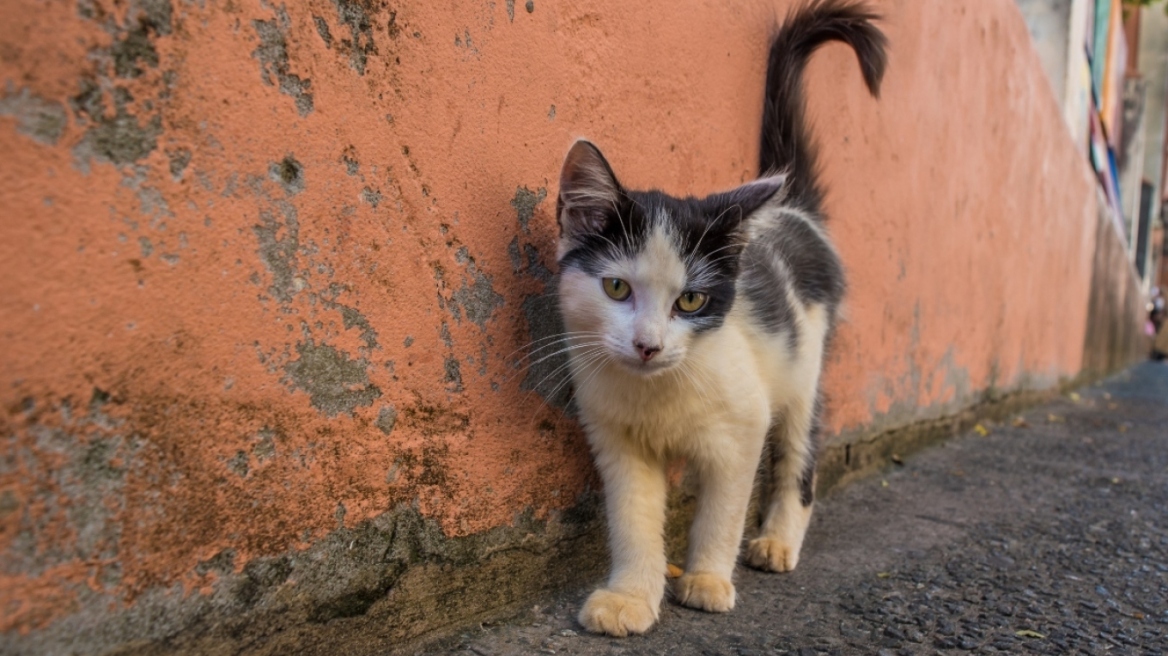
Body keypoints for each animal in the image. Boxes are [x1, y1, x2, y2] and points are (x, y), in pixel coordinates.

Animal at [546, 0, 883, 634]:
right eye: (616, 287)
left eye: (691, 301)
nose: (648, 345)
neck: (659, 391)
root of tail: (794, 211)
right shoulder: (616, 440)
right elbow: (632, 518)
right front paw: (630, 596)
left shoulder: (743, 426)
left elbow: (722, 510)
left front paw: (705, 579)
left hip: (806, 365)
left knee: (800, 454)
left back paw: (777, 541)